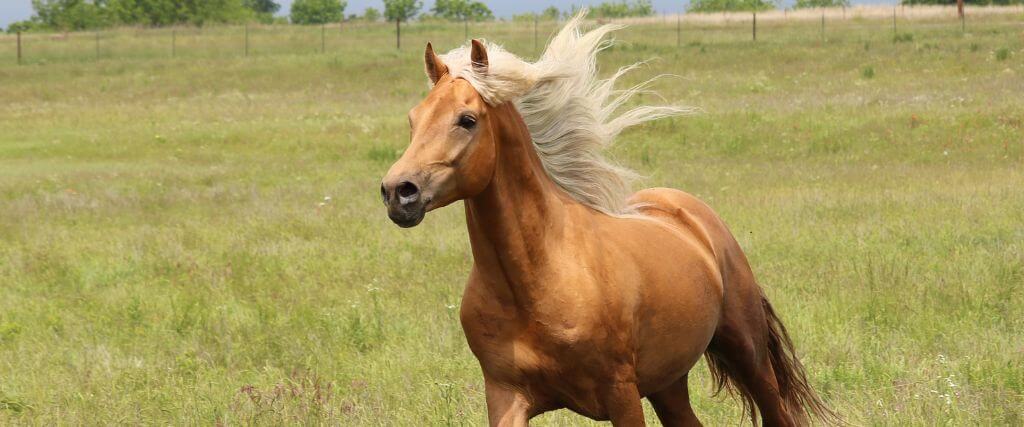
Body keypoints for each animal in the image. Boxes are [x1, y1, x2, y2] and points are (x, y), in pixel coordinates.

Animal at [380, 14, 835, 426]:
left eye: (467, 120)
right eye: (413, 119)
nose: (398, 191)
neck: (537, 279)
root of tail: (692, 214)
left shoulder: (621, 393)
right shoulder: (506, 396)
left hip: (747, 352)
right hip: (668, 382)